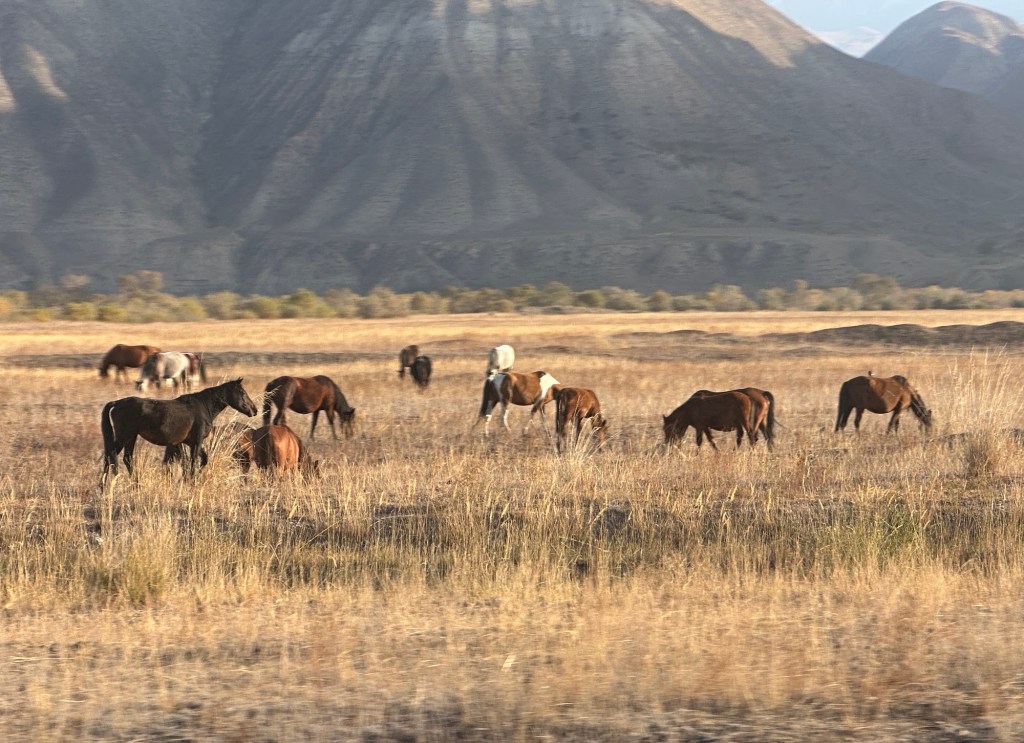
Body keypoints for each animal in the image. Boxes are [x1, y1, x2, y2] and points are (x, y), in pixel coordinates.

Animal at [101, 378, 258, 478]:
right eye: (242, 393)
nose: (254, 410)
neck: (203, 406)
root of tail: (117, 403)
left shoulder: (188, 443)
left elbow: (200, 461)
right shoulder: (197, 442)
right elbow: (193, 462)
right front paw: (191, 481)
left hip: (131, 437)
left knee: (123, 458)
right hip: (124, 436)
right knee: (112, 456)